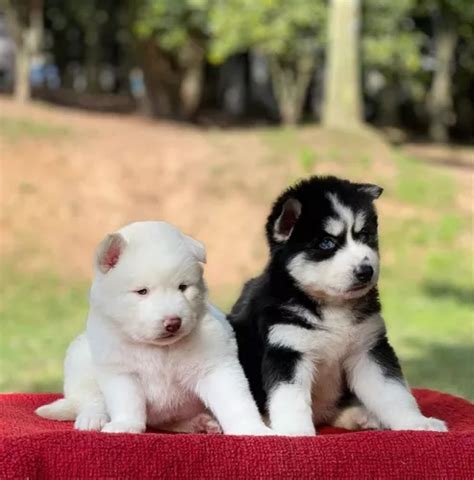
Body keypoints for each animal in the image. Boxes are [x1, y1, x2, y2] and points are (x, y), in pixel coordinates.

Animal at [35, 221, 272, 436]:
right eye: (142, 291)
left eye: (183, 287)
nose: (173, 322)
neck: (159, 349)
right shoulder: (120, 371)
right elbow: (127, 401)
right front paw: (125, 425)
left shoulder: (216, 367)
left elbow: (236, 402)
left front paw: (252, 429)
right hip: (80, 360)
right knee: (89, 399)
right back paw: (93, 418)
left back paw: (201, 423)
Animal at [230, 175, 448, 436]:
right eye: (327, 243)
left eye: (364, 235)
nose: (366, 271)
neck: (333, 309)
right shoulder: (287, 349)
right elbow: (291, 401)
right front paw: (297, 434)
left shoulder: (368, 349)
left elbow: (394, 392)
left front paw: (416, 422)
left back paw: (361, 416)